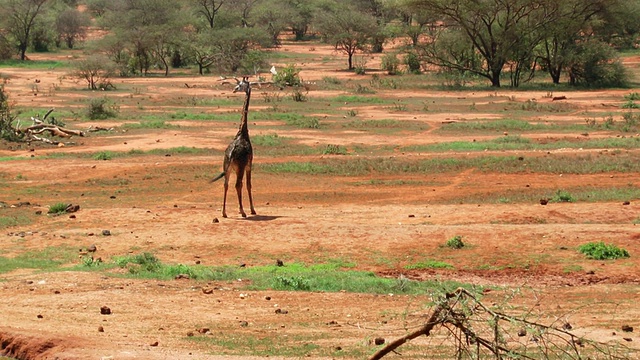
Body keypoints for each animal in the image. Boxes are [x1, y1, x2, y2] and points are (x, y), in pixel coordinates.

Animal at [212, 77, 258, 218]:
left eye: (241, 85)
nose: (234, 89)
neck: (242, 132)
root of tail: (232, 153)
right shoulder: (249, 164)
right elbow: (248, 185)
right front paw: (252, 209)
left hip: (227, 167)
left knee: (226, 184)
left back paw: (224, 212)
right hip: (240, 167)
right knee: (238, 184)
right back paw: (243, 212)